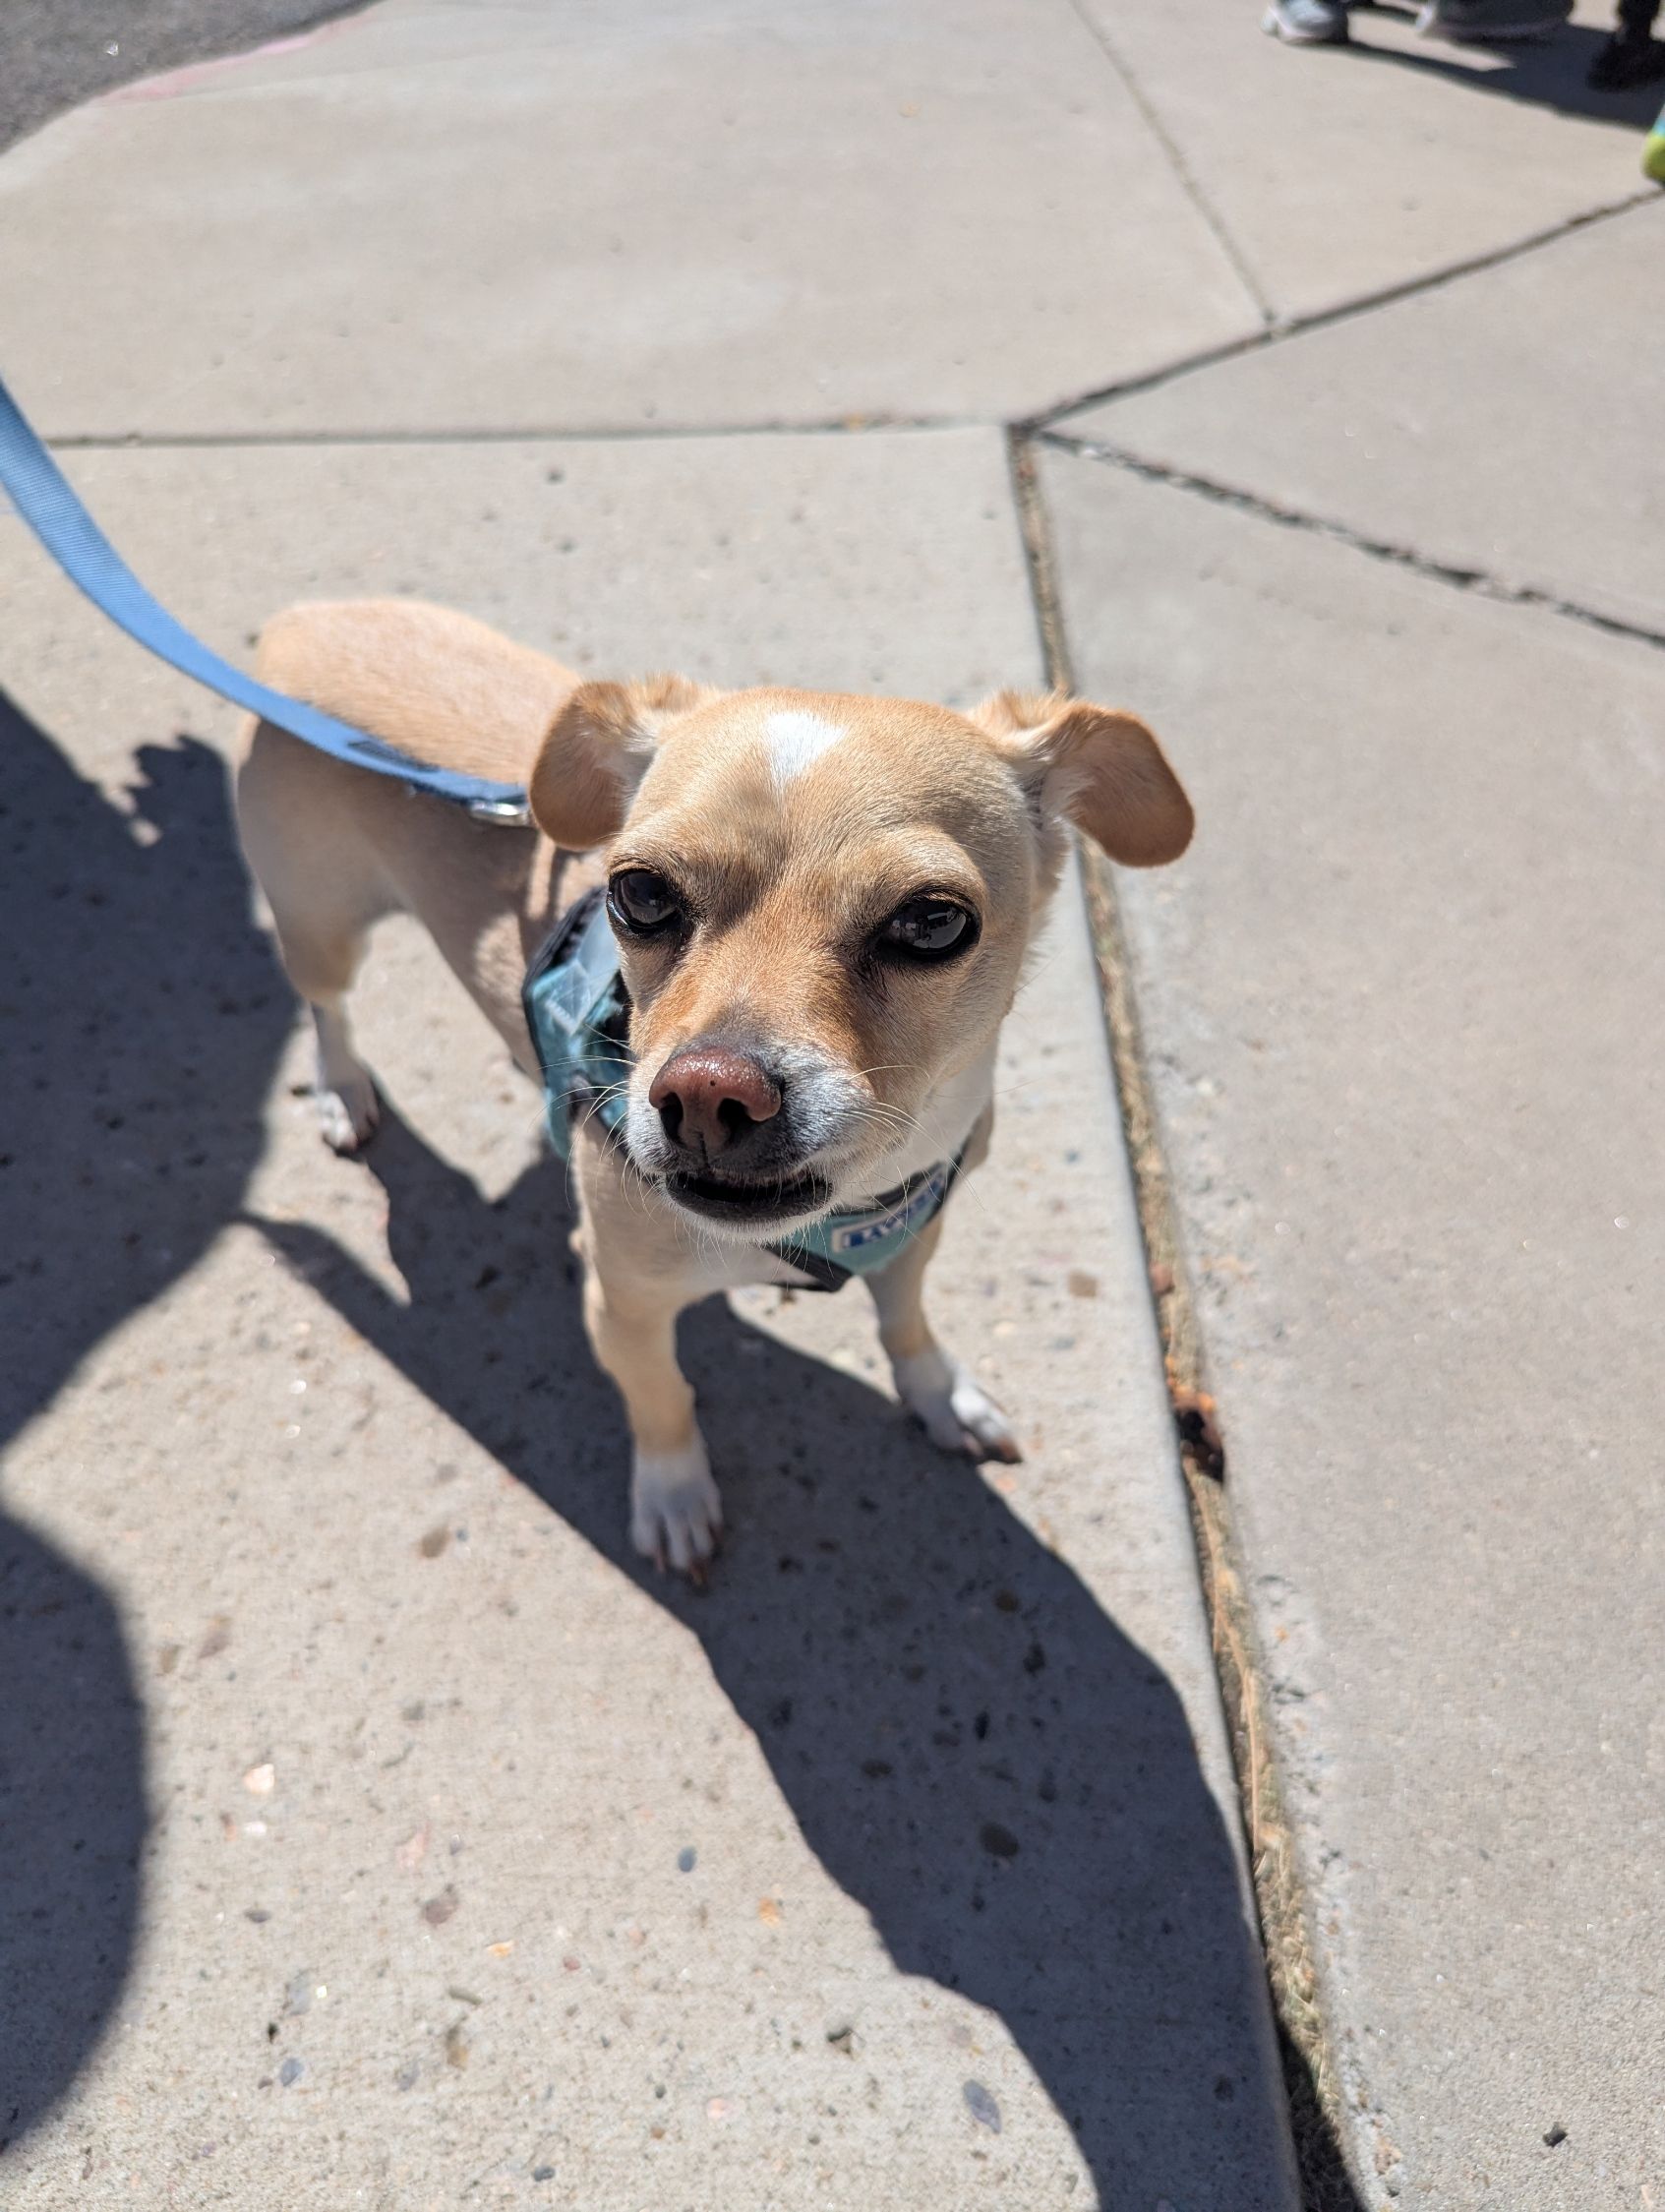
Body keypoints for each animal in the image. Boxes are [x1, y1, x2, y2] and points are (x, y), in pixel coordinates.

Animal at [235, 599, 1192, 1575]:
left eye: (932, 920)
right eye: (638, 892)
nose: (705, 1094)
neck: (833, 1221)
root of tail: (309, 617)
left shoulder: (912, 1238)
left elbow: (906, 1325)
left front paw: (939, 1394)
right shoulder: (622, 1305)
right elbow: (662, 1400)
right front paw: (673, 1496)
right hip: (320, 923)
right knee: (327, 1006)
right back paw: (342, 1088)